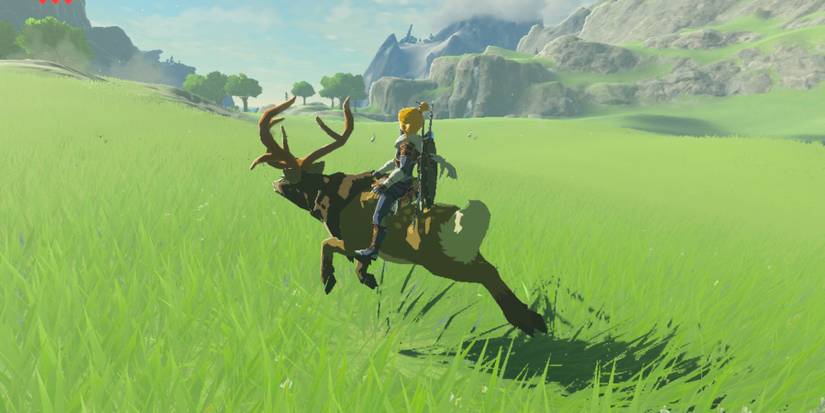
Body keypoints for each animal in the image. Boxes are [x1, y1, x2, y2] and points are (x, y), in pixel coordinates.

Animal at [249, 96, 547, 336]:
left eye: (289, 174)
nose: (276, 184)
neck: (330, 199)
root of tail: (464, 217)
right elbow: (359, 262)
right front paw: (367, 279)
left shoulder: (350, 238)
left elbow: (327, 245)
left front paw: (329, 281)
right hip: (462, 254)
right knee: (491, 268)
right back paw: (534, 320)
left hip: (442, 260)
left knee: (487, 272)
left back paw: (528, 322)